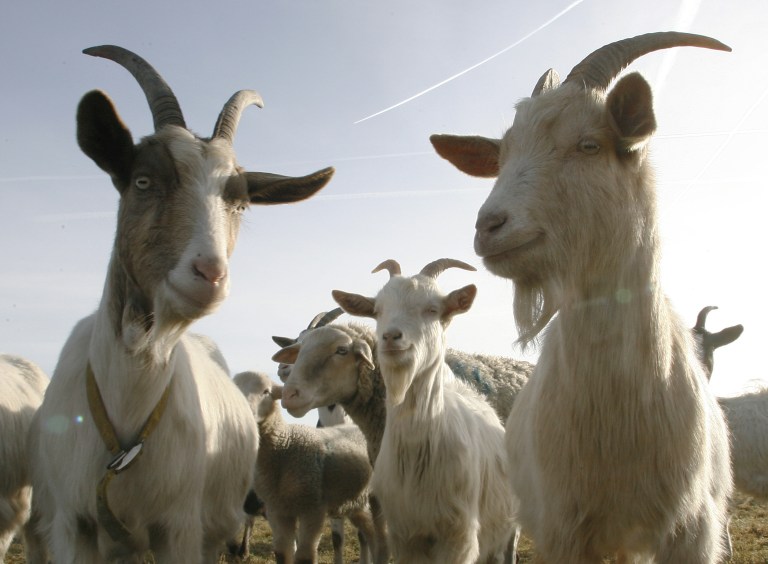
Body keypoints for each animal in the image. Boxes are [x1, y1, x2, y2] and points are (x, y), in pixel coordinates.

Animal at [234, 370, 386, 564]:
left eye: (266, 391)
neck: (284, 444)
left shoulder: (313, 508)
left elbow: (305, 556)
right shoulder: (277, 510)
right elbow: (282, 554)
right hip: (355, 501)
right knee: (370, 532)